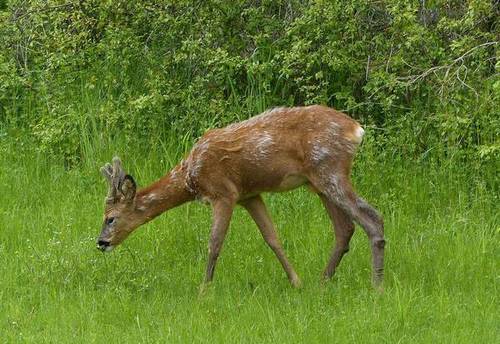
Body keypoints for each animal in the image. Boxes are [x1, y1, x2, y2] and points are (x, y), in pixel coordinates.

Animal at [98, 105, 386, 288]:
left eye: (111, 218)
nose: (101, 242)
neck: (190, 176)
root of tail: (356, 130)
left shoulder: (224, 192)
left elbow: (214, 243)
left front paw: (204, 290)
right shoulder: (250, 194)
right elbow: (272, 238)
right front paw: (296, 282)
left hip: (330, 170)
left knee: (372, 217)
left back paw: (376, 286)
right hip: (318, 182)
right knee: (345, 228)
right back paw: (322, 281)